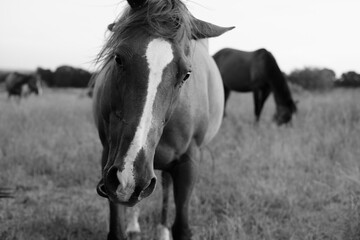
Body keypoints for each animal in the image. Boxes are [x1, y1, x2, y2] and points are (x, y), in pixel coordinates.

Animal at [91, 0, 235, 239]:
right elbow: (116, 228)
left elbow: (182, 227)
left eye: (186, 75)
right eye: (118, 58)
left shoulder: (188, 162)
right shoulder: (108, 159)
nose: (130, 177)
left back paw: (162, 230)